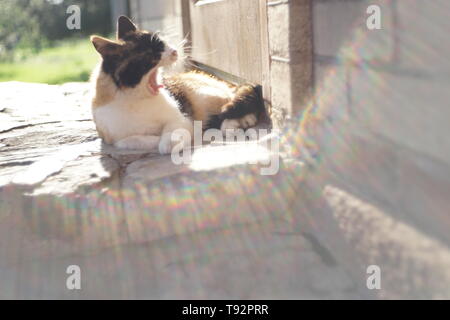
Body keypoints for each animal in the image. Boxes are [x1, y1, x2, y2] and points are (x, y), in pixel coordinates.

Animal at [89, 15, 264, 154]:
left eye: (163, 43)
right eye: (152, 53)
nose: (174, 51)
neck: (136, 99)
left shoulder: (181, 119)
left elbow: (172, 132)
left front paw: (167, 143)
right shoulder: (113, 139)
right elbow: (131, 141)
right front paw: (155, 140)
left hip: (204, 96)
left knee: (236, 100)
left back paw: (238, 121)